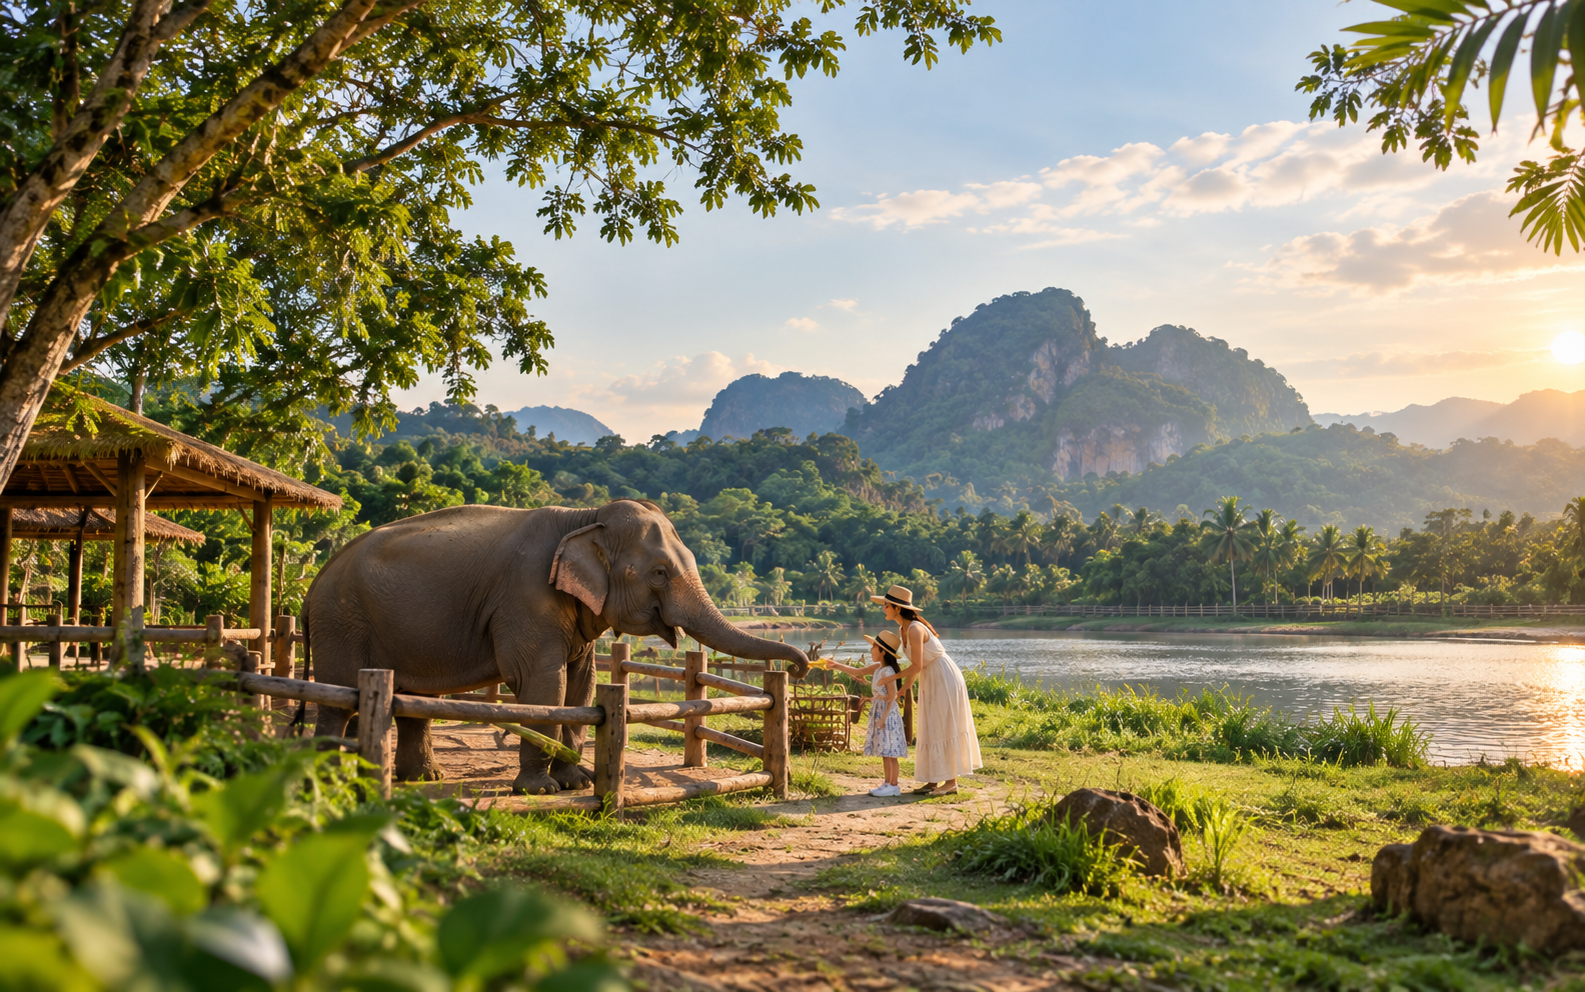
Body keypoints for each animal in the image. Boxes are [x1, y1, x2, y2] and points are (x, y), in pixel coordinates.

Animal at [302, 498, 809, 794]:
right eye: (660, 573)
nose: (801, 666)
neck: (585, 517)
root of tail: (311, 587)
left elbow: (582, 681)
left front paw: (575, 782)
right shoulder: (526, 595)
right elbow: (544, 681)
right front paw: (540, 790)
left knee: (409, 698)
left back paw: (420, 778)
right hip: (341, 622)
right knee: (339, 697)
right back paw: (332, 775)